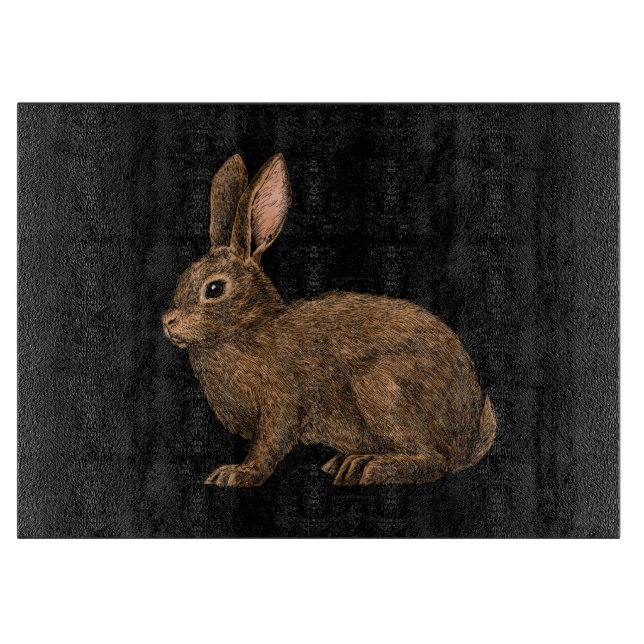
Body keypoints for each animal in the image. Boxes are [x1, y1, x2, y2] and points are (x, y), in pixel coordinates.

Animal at [162, 153, 496, 487]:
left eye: (214, 289)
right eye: (182, 278)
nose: (168, 322)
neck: (248, 328)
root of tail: (468, 436)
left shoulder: (282, 402)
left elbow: (270, 444)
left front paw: (238, 473)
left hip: (381, 388)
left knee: (435, 460)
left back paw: (368, 467)